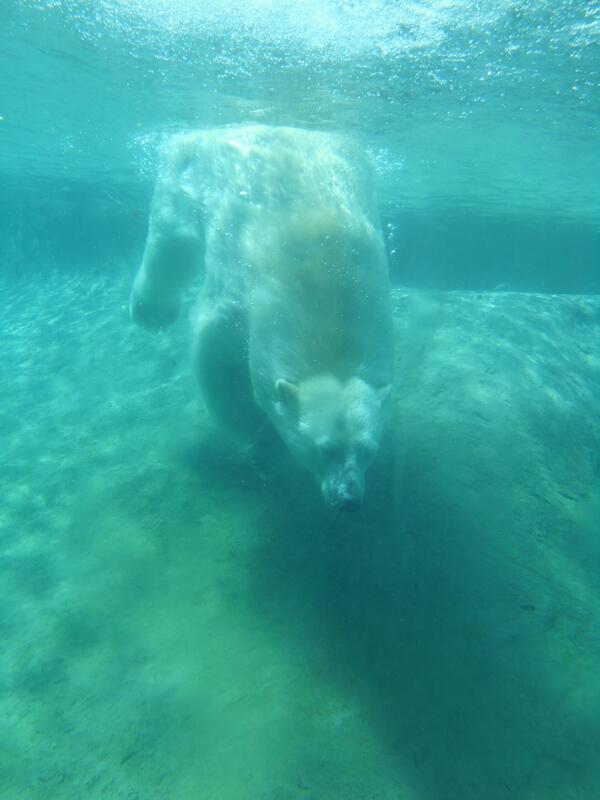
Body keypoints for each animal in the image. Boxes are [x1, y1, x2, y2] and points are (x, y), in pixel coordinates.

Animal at [130, 125, 394, 511]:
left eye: (368, 451)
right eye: (324, 449)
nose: (348, 499)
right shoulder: (242, 293)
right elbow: (217, 356)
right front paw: (260, 439)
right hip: (188, 177)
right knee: (173, 237)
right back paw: (152, 312)